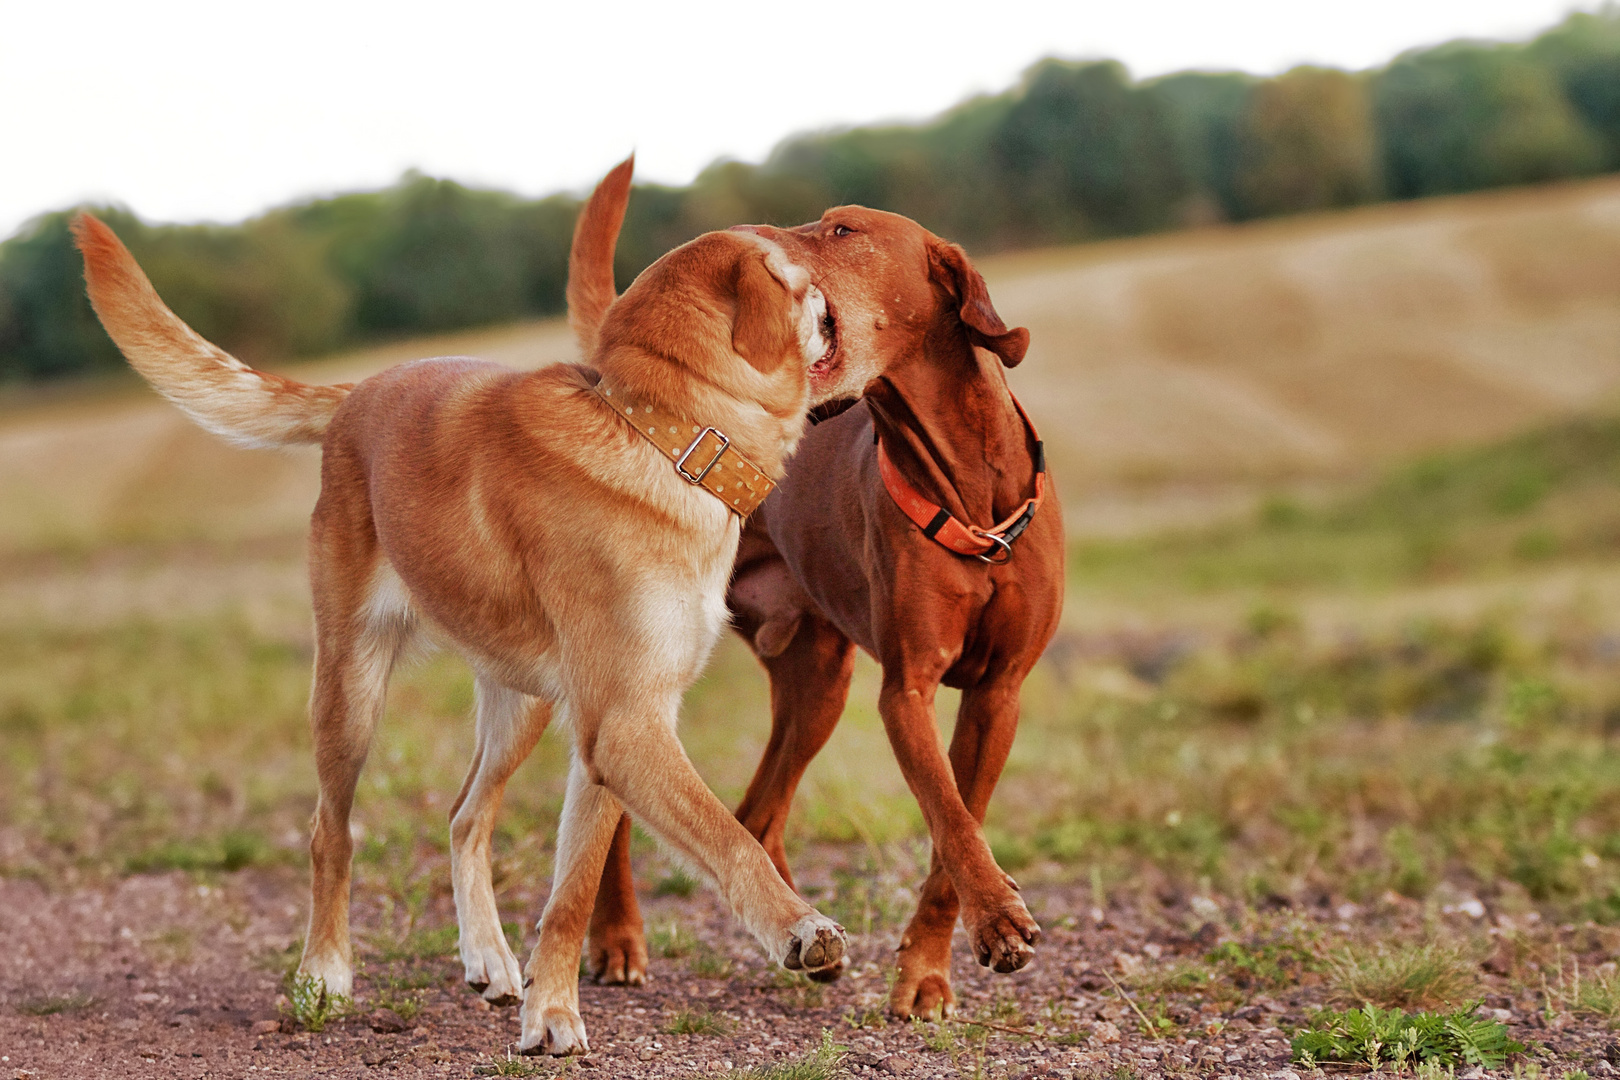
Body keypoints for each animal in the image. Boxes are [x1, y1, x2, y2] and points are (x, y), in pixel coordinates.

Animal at [72, 207, 848, 1049]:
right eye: (796, 263)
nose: (840, 252)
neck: (663, 435)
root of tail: (357, 391)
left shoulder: (613, 733)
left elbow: (572, 894)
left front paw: (553, 1012)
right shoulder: (627, 725)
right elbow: (729, 839)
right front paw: (798, 929)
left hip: (522, 707)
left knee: (464, 817)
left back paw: (489, 956)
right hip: (349, 690)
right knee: (330, 832)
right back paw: (325, 972)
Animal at [570, 158, 1062, 1016]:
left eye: (841, 229)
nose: (743, 236)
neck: (971, 493)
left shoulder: (997, 692)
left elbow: (955, 829)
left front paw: (934, 965)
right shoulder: (907, 691)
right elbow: (952, 819)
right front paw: (987, 925)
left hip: (818, 682)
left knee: (758, 814)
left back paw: (803, 938)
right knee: (634, 811)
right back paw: (618, 937)